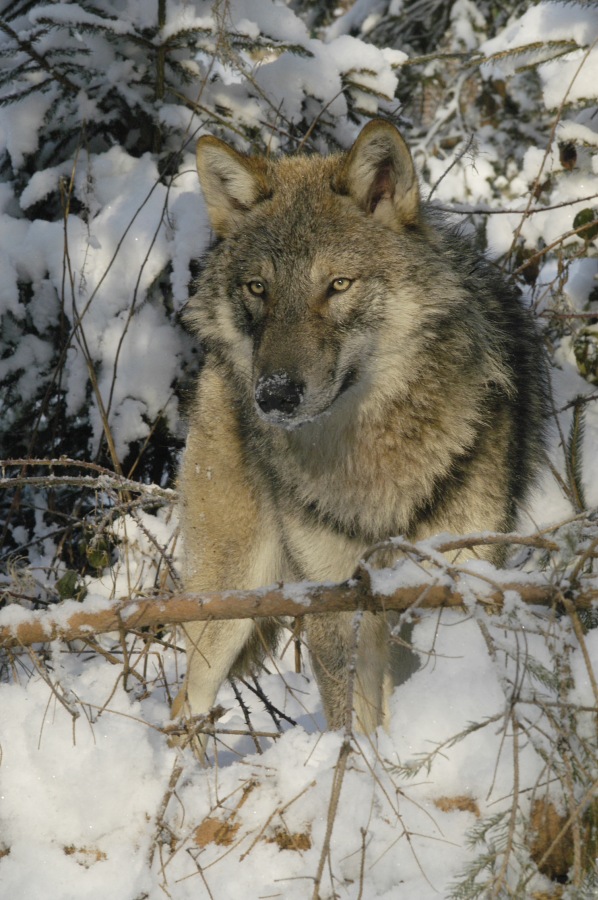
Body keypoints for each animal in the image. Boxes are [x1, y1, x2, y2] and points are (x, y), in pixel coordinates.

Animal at [173, 119, 547, 752]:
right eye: (258, 289)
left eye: (338, 285)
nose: (274, 395)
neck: (370, 453)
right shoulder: (333, 599)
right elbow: (353, 726)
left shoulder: (452, 587)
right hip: (229, 598)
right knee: (186, 704)